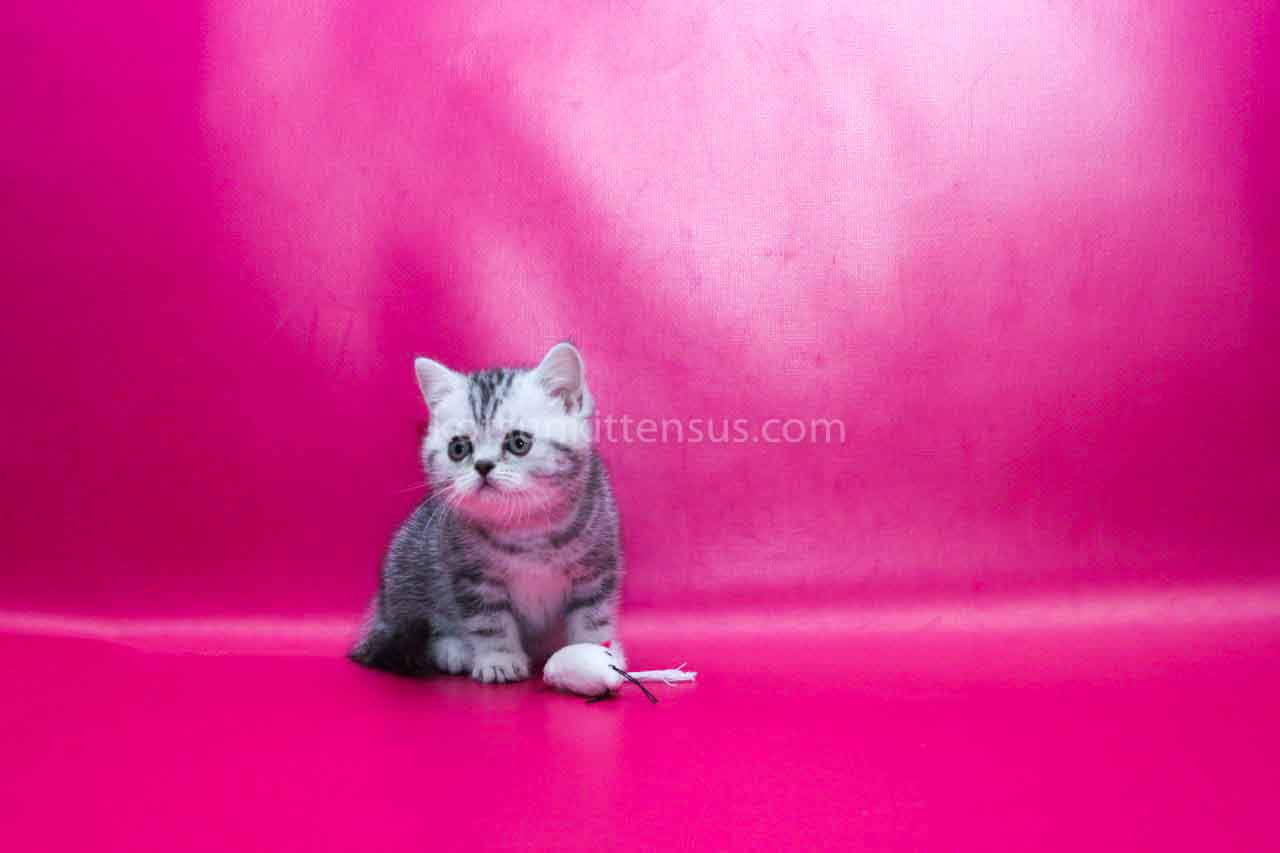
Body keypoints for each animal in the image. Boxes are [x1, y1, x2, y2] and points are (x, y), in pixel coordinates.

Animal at [350, 342, 624, 683]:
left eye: (519, 443)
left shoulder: (596, 567)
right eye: (458, 448)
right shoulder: (473, 577)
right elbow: (490, 623)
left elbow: (593, 617)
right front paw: (499, 659)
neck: (526, 527)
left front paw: (594, 655)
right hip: (407, 565)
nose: (482, 466)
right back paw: (454, 650)